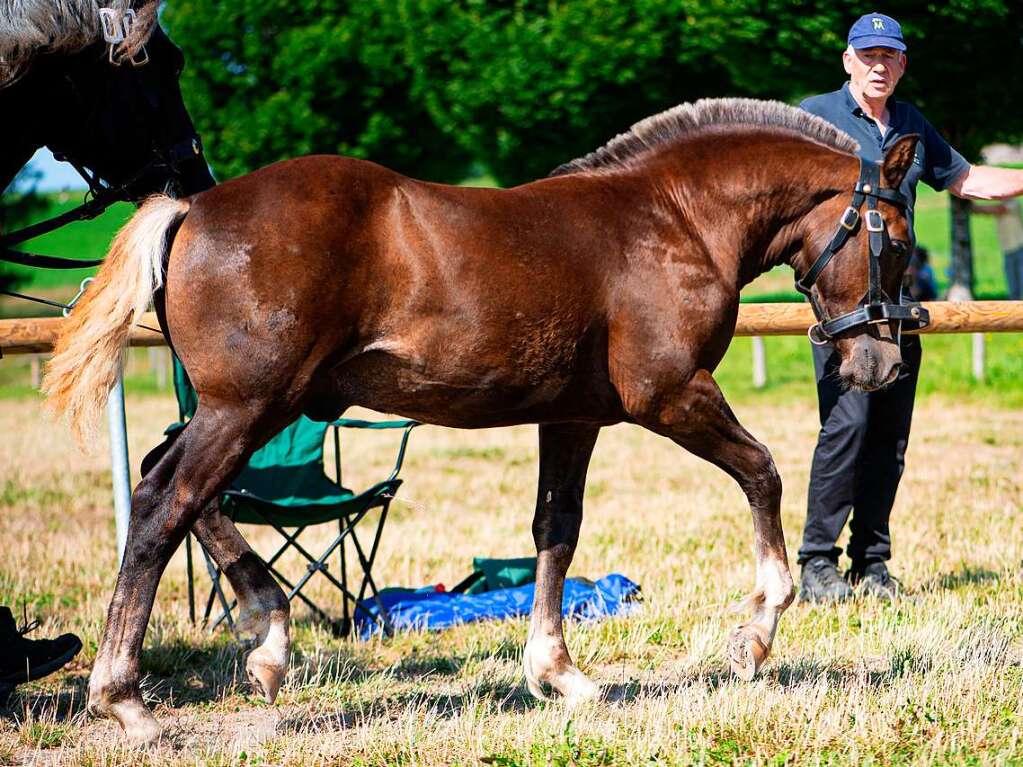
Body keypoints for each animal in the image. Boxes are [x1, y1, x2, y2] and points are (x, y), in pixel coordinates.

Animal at [43, 99, 920, 740]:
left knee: (181, 490)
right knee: (167, 502)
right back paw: (128, 698)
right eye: (899, 241)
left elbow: (554, 531)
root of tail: (191, 208)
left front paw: (557, 673)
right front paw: (755, 634)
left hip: (248, 408)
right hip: (248, 407)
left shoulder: (573, 419)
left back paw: (268, 636)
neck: (672, 218)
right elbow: (763, 471)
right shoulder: (670, 396)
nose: (881, 365)